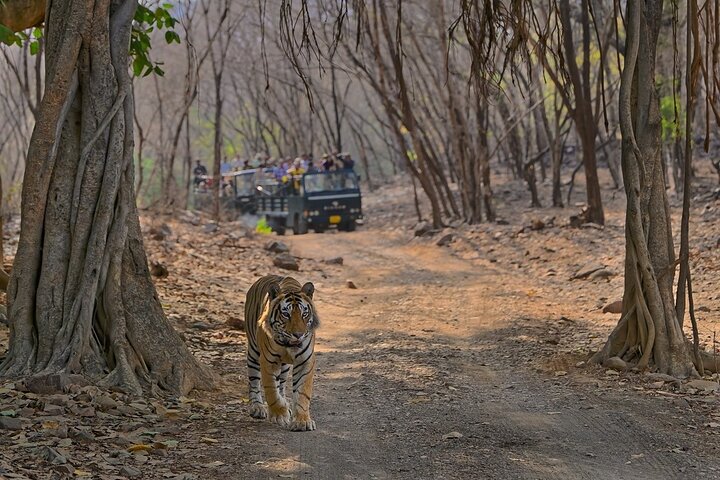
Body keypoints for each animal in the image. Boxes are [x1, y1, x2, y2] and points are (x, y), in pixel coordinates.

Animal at [244, 274, 319, 431]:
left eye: (304, 314)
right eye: (286, 314)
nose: (298, 334)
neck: (287, 345)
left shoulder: (305, 361)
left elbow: (302, 392)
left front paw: (302, 421)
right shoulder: (267, 361)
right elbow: (271, 390)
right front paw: (279, 414)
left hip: (284, 366)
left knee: (282, 384)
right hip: (253, 353)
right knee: (254, 381)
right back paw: (257, 407)